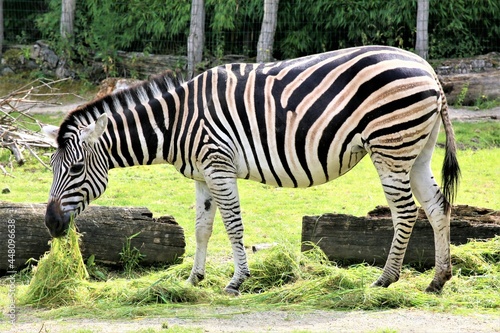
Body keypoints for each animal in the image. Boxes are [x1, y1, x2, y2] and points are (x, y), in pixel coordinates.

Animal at [44, 46, 460, 294]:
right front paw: (193, 279)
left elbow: (233, 226)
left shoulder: (219, 167)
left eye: (76, 167)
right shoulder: (203, 176)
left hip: (390, 147)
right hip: (417, 151)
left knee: (405, 212)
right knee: (437, 207)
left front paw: (237, 281)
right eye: (51, 167)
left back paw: (386, 279)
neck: (176, 123)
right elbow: (202, 228)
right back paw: (438, 279)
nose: (49, 224)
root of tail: (428, 70)